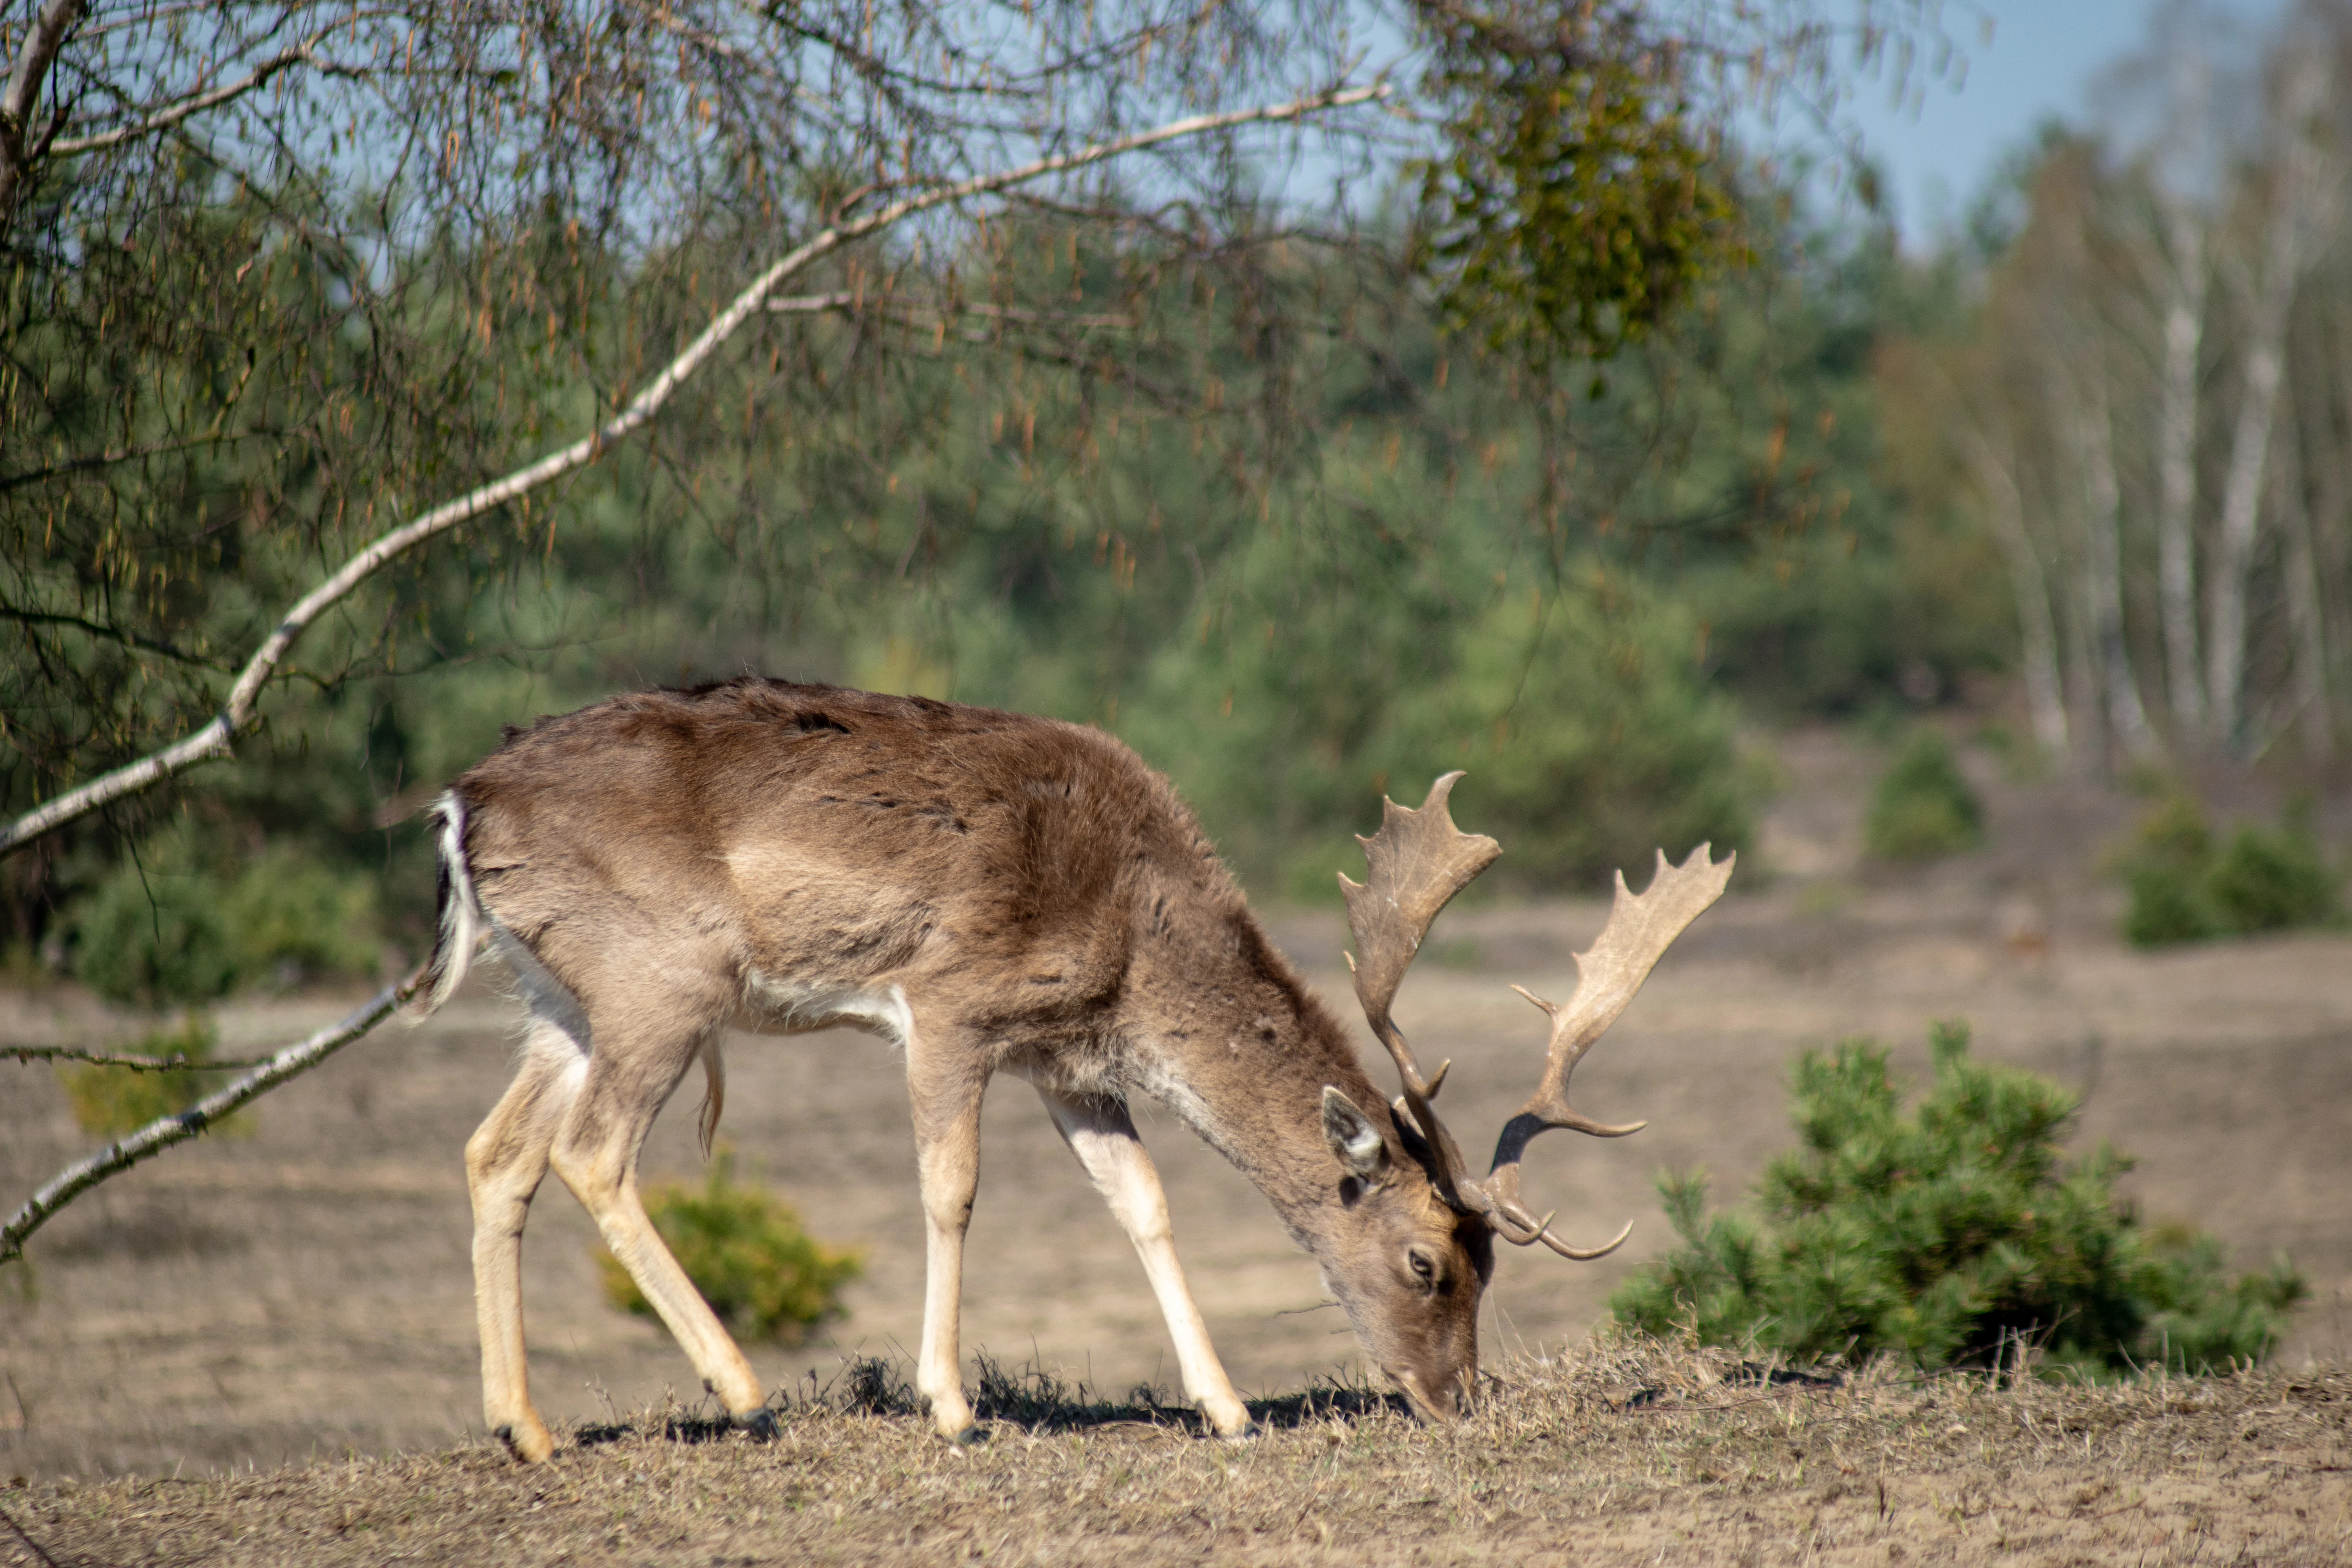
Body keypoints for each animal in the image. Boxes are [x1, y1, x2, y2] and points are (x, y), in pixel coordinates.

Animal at [405, 677, 1731, 1460]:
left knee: (494, 1151)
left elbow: (1142, 1203)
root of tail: (459, 805)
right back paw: (740, 1390)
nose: (1458, 1400)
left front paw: (1227, 1407)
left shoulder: (1068, 1060)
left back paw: (526, 1427)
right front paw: (950, 1406)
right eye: (1428, 1261)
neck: (1132, 934)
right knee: (590, 1153)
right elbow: (951, 1190)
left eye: (1488, 1268)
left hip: (557, 999)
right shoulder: (949, 1003)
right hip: (658, 981)